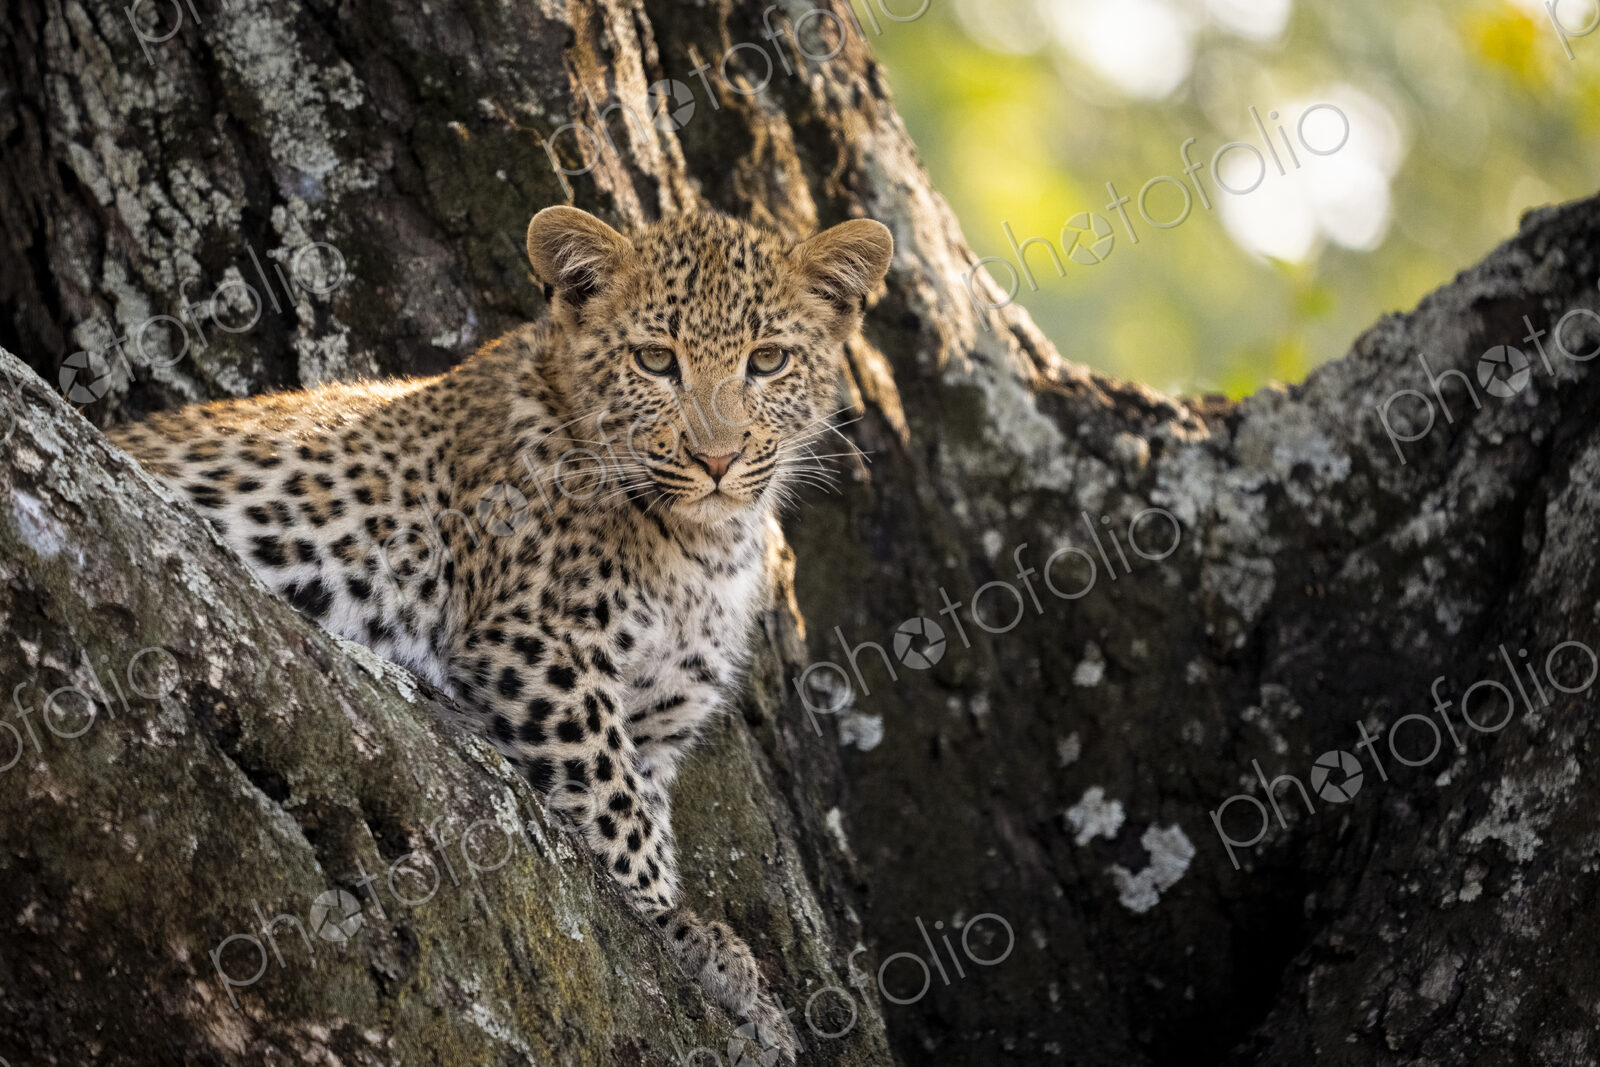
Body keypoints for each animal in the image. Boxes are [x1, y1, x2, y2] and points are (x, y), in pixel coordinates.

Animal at [107, 204, 894, 1061]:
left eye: (768, 360)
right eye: (655, 360)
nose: (715, 459)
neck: (703, 546)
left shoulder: (658, 718)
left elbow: (645, 801)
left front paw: (716, 957)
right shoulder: (536, 642)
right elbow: (614, 801)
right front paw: (672, 925)